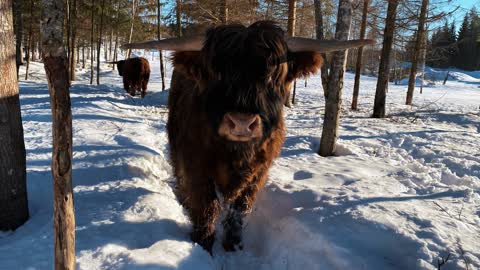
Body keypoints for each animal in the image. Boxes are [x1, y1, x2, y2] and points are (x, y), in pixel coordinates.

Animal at [122, 21, 374, 253]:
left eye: (274, 72)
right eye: (216, 71)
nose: (242, 123)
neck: (235, 152)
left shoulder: (258, 171)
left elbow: (240, 208)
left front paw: (233, 244)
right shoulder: (197, 166)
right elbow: (206, 205)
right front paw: (203, 241)